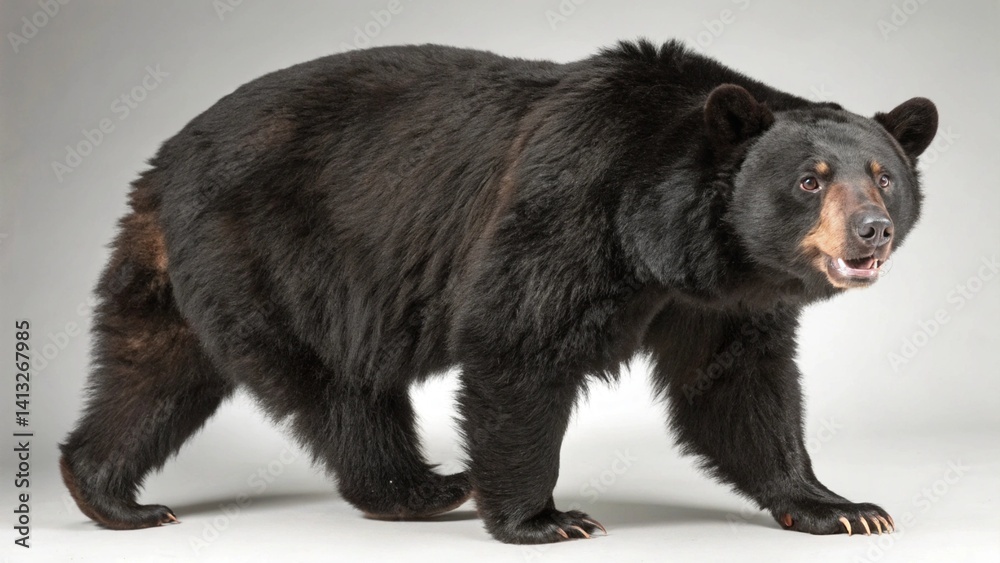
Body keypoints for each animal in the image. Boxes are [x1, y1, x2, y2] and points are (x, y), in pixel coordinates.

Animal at [59, 39, 938, 544]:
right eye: (810, 179)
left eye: (883, 176)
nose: (871, 231)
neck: (674, 237)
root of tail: (165, 160)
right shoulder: (576, 204)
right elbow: (518, 341)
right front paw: (544, 516)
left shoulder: (719, 299)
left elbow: (739, 388)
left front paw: (838, 504)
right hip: (277, 252)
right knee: (335, 385)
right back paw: (420, 486)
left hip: (188, 268)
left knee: (155, 368)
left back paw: (106, 490)